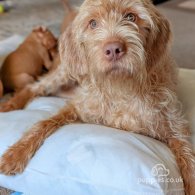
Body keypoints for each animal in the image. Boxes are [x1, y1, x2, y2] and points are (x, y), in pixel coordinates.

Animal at [0, 0, 195, 194]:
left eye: (131, 17)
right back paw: (11, 104)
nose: (114, 49)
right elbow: (44, 123)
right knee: (34, 87)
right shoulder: (77, 107)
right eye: (92, 23)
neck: (119, 86)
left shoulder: (175, 127)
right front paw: (16, 153)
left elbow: (188, 158)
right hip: (65, 72)